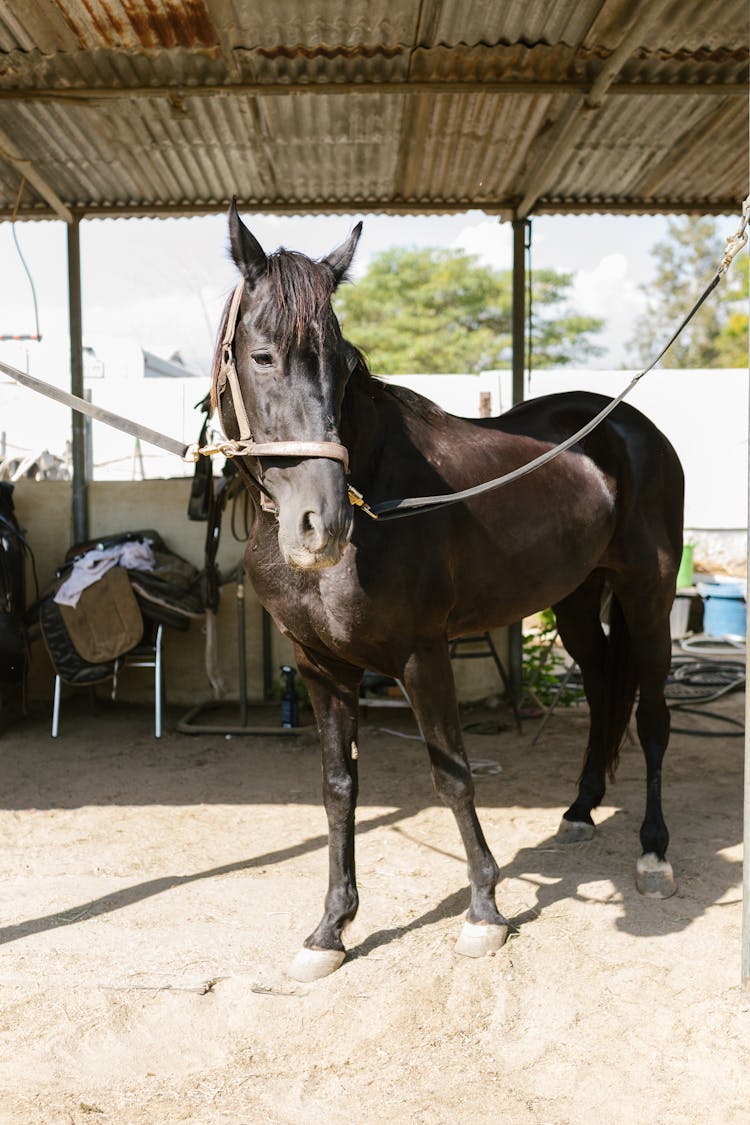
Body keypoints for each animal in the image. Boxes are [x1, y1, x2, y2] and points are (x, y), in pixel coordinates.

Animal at [213, 207, 683, 981]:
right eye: (262, 356)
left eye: (343, 366)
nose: (323, 522)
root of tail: (628, 426)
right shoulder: (320, 666)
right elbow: (337, 788)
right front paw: (330, 929)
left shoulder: (422, 656)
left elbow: (453, 777)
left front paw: (485, 912)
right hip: (575, 601)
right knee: (600, 690)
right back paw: (580, 812)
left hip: (649, 597)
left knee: (651, 718)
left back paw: (653, 852)